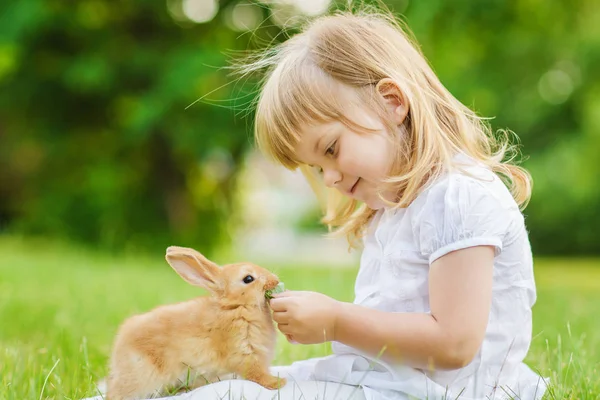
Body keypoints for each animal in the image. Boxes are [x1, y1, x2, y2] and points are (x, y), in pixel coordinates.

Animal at [105, 244, 286, 400]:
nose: (275, 280)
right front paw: (278, 382)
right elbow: (256, 373)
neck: (235, 307)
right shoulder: (244, 351)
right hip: (141, 375)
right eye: (248, 279)